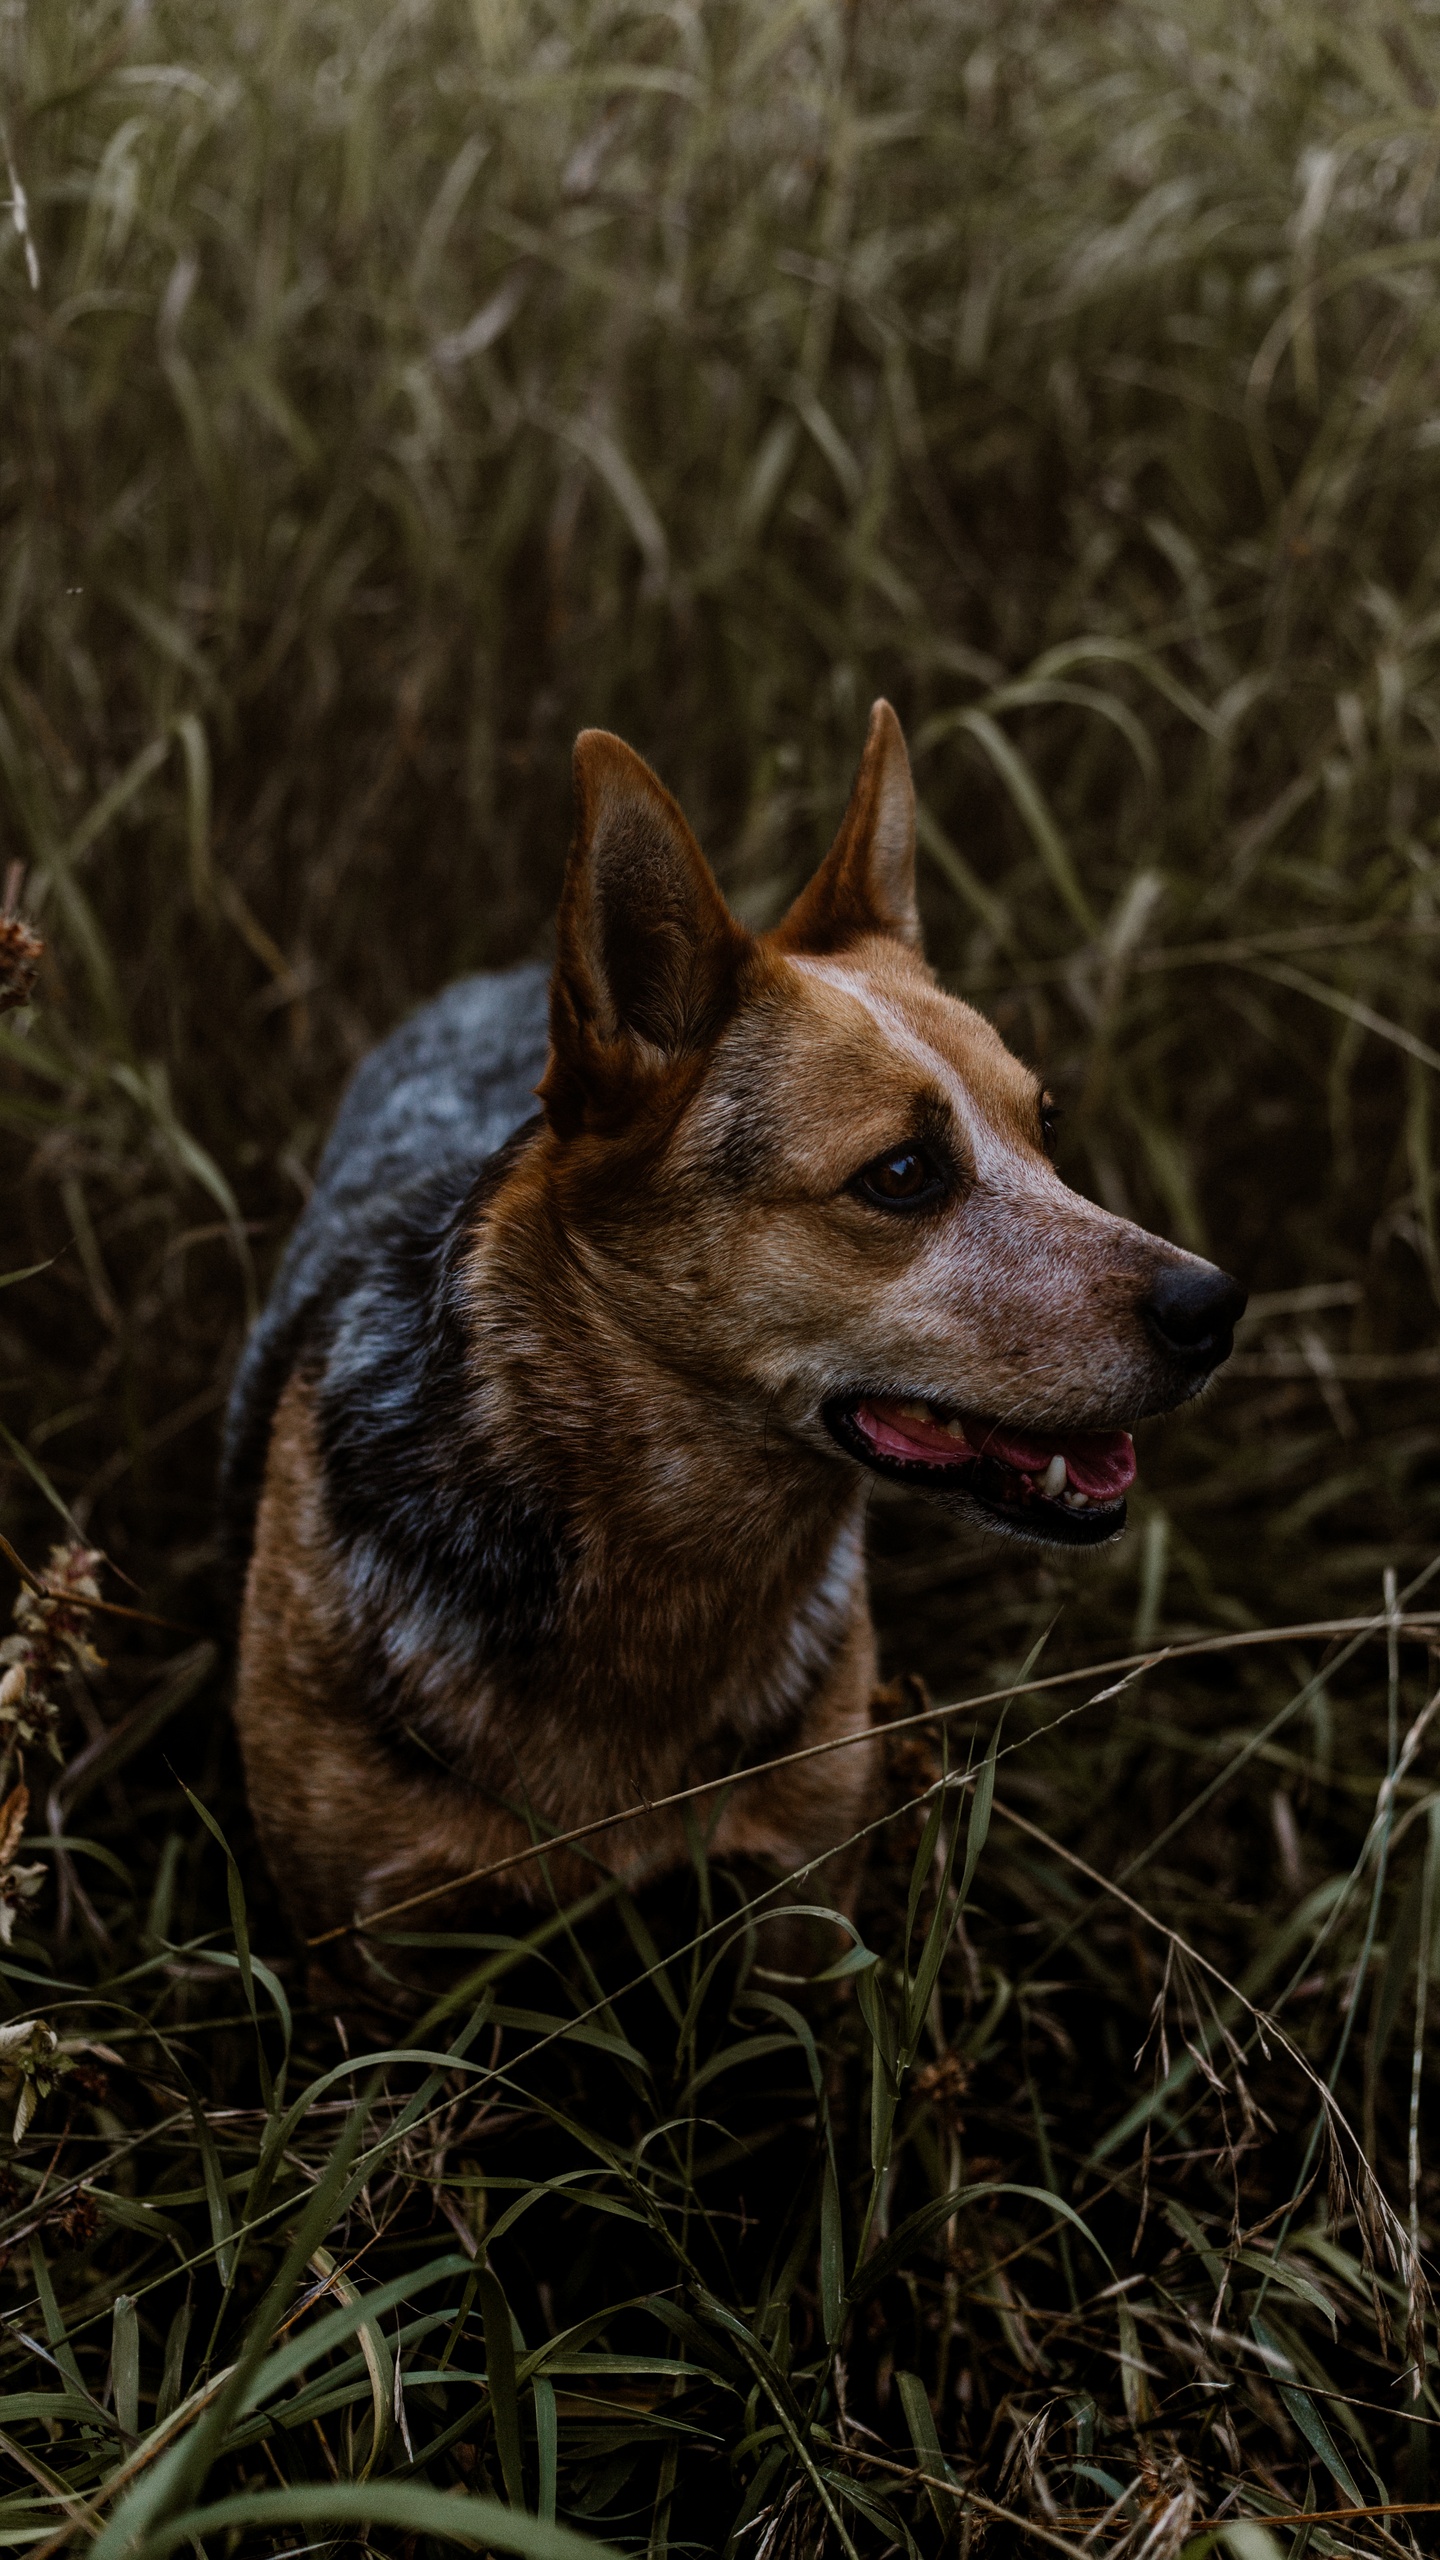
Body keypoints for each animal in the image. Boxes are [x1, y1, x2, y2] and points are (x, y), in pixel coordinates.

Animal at [219, 706, 1240, 1976]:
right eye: (901, 1173)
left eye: (1044, 1128)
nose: (1215, 1305)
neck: (666, 1552)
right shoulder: (364, 1941)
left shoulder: (798, 1901)